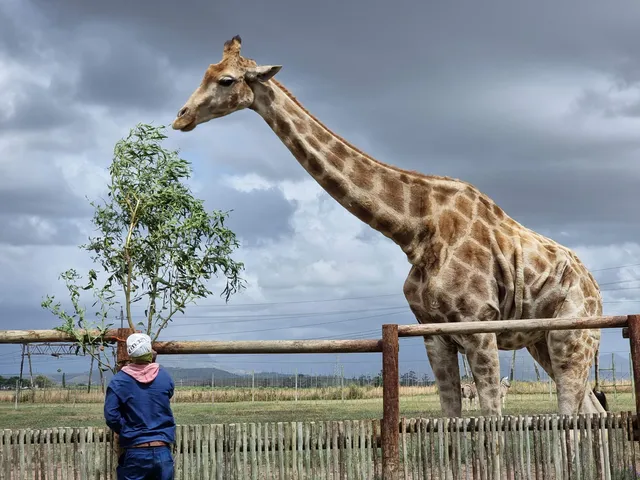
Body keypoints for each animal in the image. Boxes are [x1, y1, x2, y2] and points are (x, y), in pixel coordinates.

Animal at [171, 35, 605, 419]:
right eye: (206, 71)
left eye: (226, 80)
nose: (181, 116)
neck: (414, 231)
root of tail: (595, 287)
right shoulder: (433, 334)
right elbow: (451, 420)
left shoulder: (480, 327)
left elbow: (491, 423)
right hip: (541, 342)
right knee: (592, 409)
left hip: (572, 335)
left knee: (573, 413)